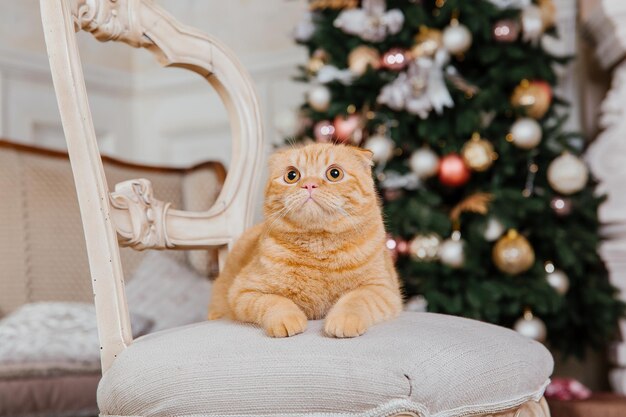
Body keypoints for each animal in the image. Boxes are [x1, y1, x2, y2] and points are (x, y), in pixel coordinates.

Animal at [207, 141, 402, 336]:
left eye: (334, 173)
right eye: (291, 175)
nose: (309, 184)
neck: (318, 248)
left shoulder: (382, 289)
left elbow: (356, 299)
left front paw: (344, 319)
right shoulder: (244, 291)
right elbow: (275, 301)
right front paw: (287, 319)